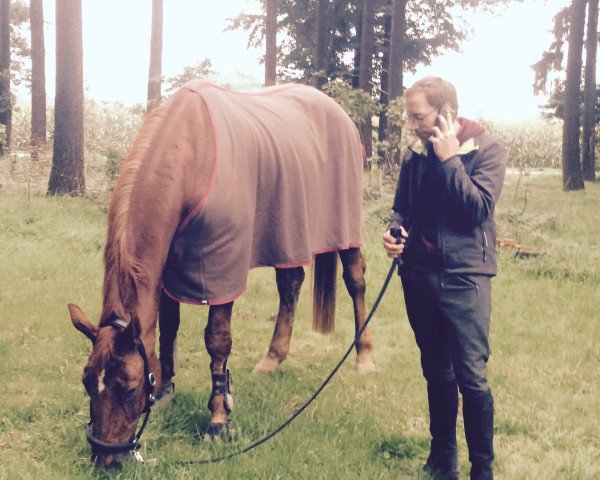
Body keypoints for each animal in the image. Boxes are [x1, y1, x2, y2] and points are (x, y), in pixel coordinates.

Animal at [69, 80, 376, 466]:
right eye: (87, 382)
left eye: (129, 388)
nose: (105, 461)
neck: (191, 152)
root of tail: (341, 116)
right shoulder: (170, 270)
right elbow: (169, 327)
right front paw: (167, 389)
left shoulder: (220, 271)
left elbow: (217, 341)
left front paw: (218, 419)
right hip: (288, 238)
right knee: (290, 285)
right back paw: (272, 359)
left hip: (346, 228)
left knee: (356, 280)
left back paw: (364, 357)